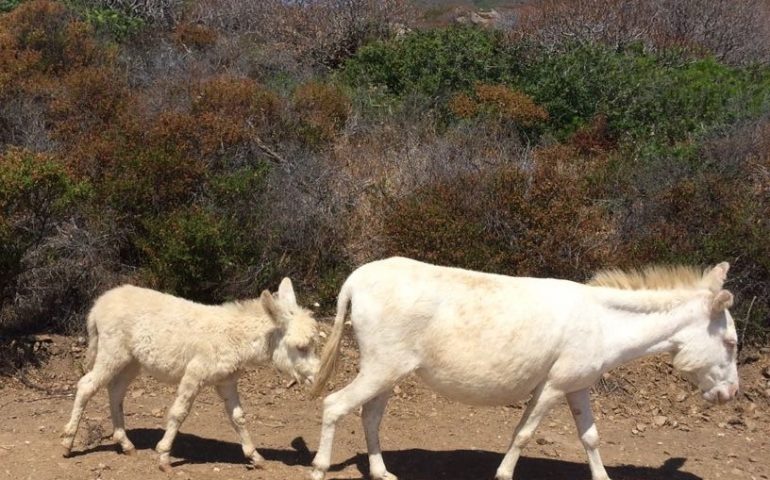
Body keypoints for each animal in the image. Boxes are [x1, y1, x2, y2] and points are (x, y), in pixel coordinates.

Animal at [60, 280, 320, 470]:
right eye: (301, 347)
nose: (317, 378)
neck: (235, 337)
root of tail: (100, 302)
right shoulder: (194, 374)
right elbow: (179, 413)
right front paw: (164, 456)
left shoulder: (226, 381)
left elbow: (238, 417)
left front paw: (254, 456)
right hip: (112, 353)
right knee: (86, 386)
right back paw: (67, 443)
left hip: (130, 362)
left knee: (115, 392)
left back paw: (125, 444)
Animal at [306, 258, 736, 480]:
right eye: (732, 343)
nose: (731, 395)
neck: (604, 321)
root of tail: (356, 278)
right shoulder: (553, 386)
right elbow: (524, 433)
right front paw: (503, 475)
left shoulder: (577, 386)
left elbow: (590, 438)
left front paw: (602, 478)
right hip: (382, 367)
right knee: (333, 405)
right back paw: (320, 468)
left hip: (389, 370)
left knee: (370, 415)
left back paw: (381, 473)